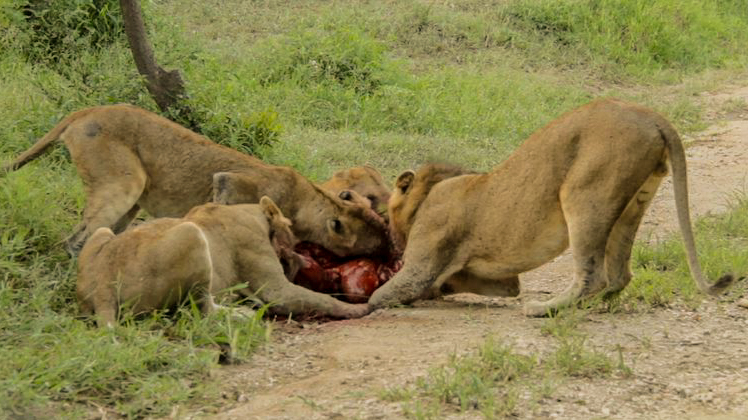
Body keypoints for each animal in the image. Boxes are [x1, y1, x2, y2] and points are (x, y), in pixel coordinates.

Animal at [2, 105, 388, 257]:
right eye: (376, 200)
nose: (391, 245)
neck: (311, 198)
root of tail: (89, 110)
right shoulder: (230, 184)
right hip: (123, 183)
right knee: (73, 241)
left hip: (131, 200)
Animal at [77, 196, 371, 327]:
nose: (298, 258)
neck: (251, 212)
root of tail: (101, 286)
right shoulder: (275, 287)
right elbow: (318, 299)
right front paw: (358, 309)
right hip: (191, 235)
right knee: (201, 310)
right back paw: (244, 313)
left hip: (101, 233)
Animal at [369, 98, 734, 316]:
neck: (431, 189)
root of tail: (652, 116)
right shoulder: (503, 281)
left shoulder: (420, 265)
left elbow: (383, 294)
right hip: (634, 202)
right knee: (619, 275)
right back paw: (592, 306)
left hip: (583, 194)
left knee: (593, 275)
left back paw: (545, 309)